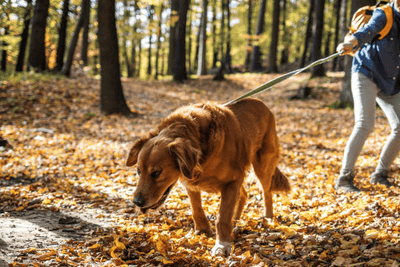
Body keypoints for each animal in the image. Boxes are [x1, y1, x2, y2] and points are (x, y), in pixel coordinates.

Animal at [126, 98, 290, 258]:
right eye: (138, 171)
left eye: (156, 173)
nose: (137, 202)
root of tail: (261, 103)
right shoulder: (192, 183)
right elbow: (196, 209)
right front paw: (202, 230)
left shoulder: (232, 181)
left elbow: (223, 218)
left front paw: (222, 245)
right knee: (244, 194)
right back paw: (236, 219)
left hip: (262, 165)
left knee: (266, 192)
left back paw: (268, 218)